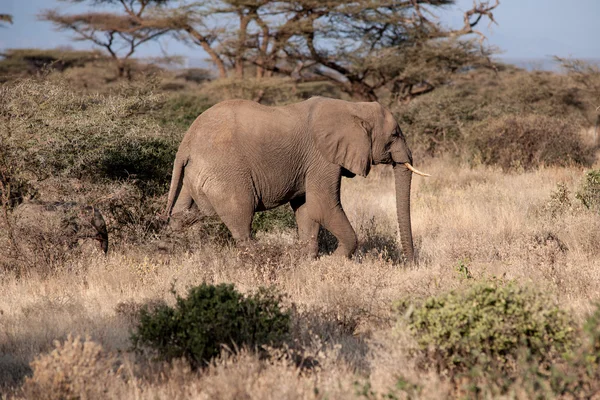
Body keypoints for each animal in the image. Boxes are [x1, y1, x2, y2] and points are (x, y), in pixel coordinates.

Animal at [164, 97, 426, 262]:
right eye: (394, 135)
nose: (410, 263)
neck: (353, 107)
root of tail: (186, 143)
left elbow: (306, 208)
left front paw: (309, 261)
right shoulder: (322, 157)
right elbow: (322, 206)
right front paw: (333, 262)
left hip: (195, 174)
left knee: (185, 214)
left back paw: (177, 249)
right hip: (225, 172)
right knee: (241, 218)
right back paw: (259, 258)